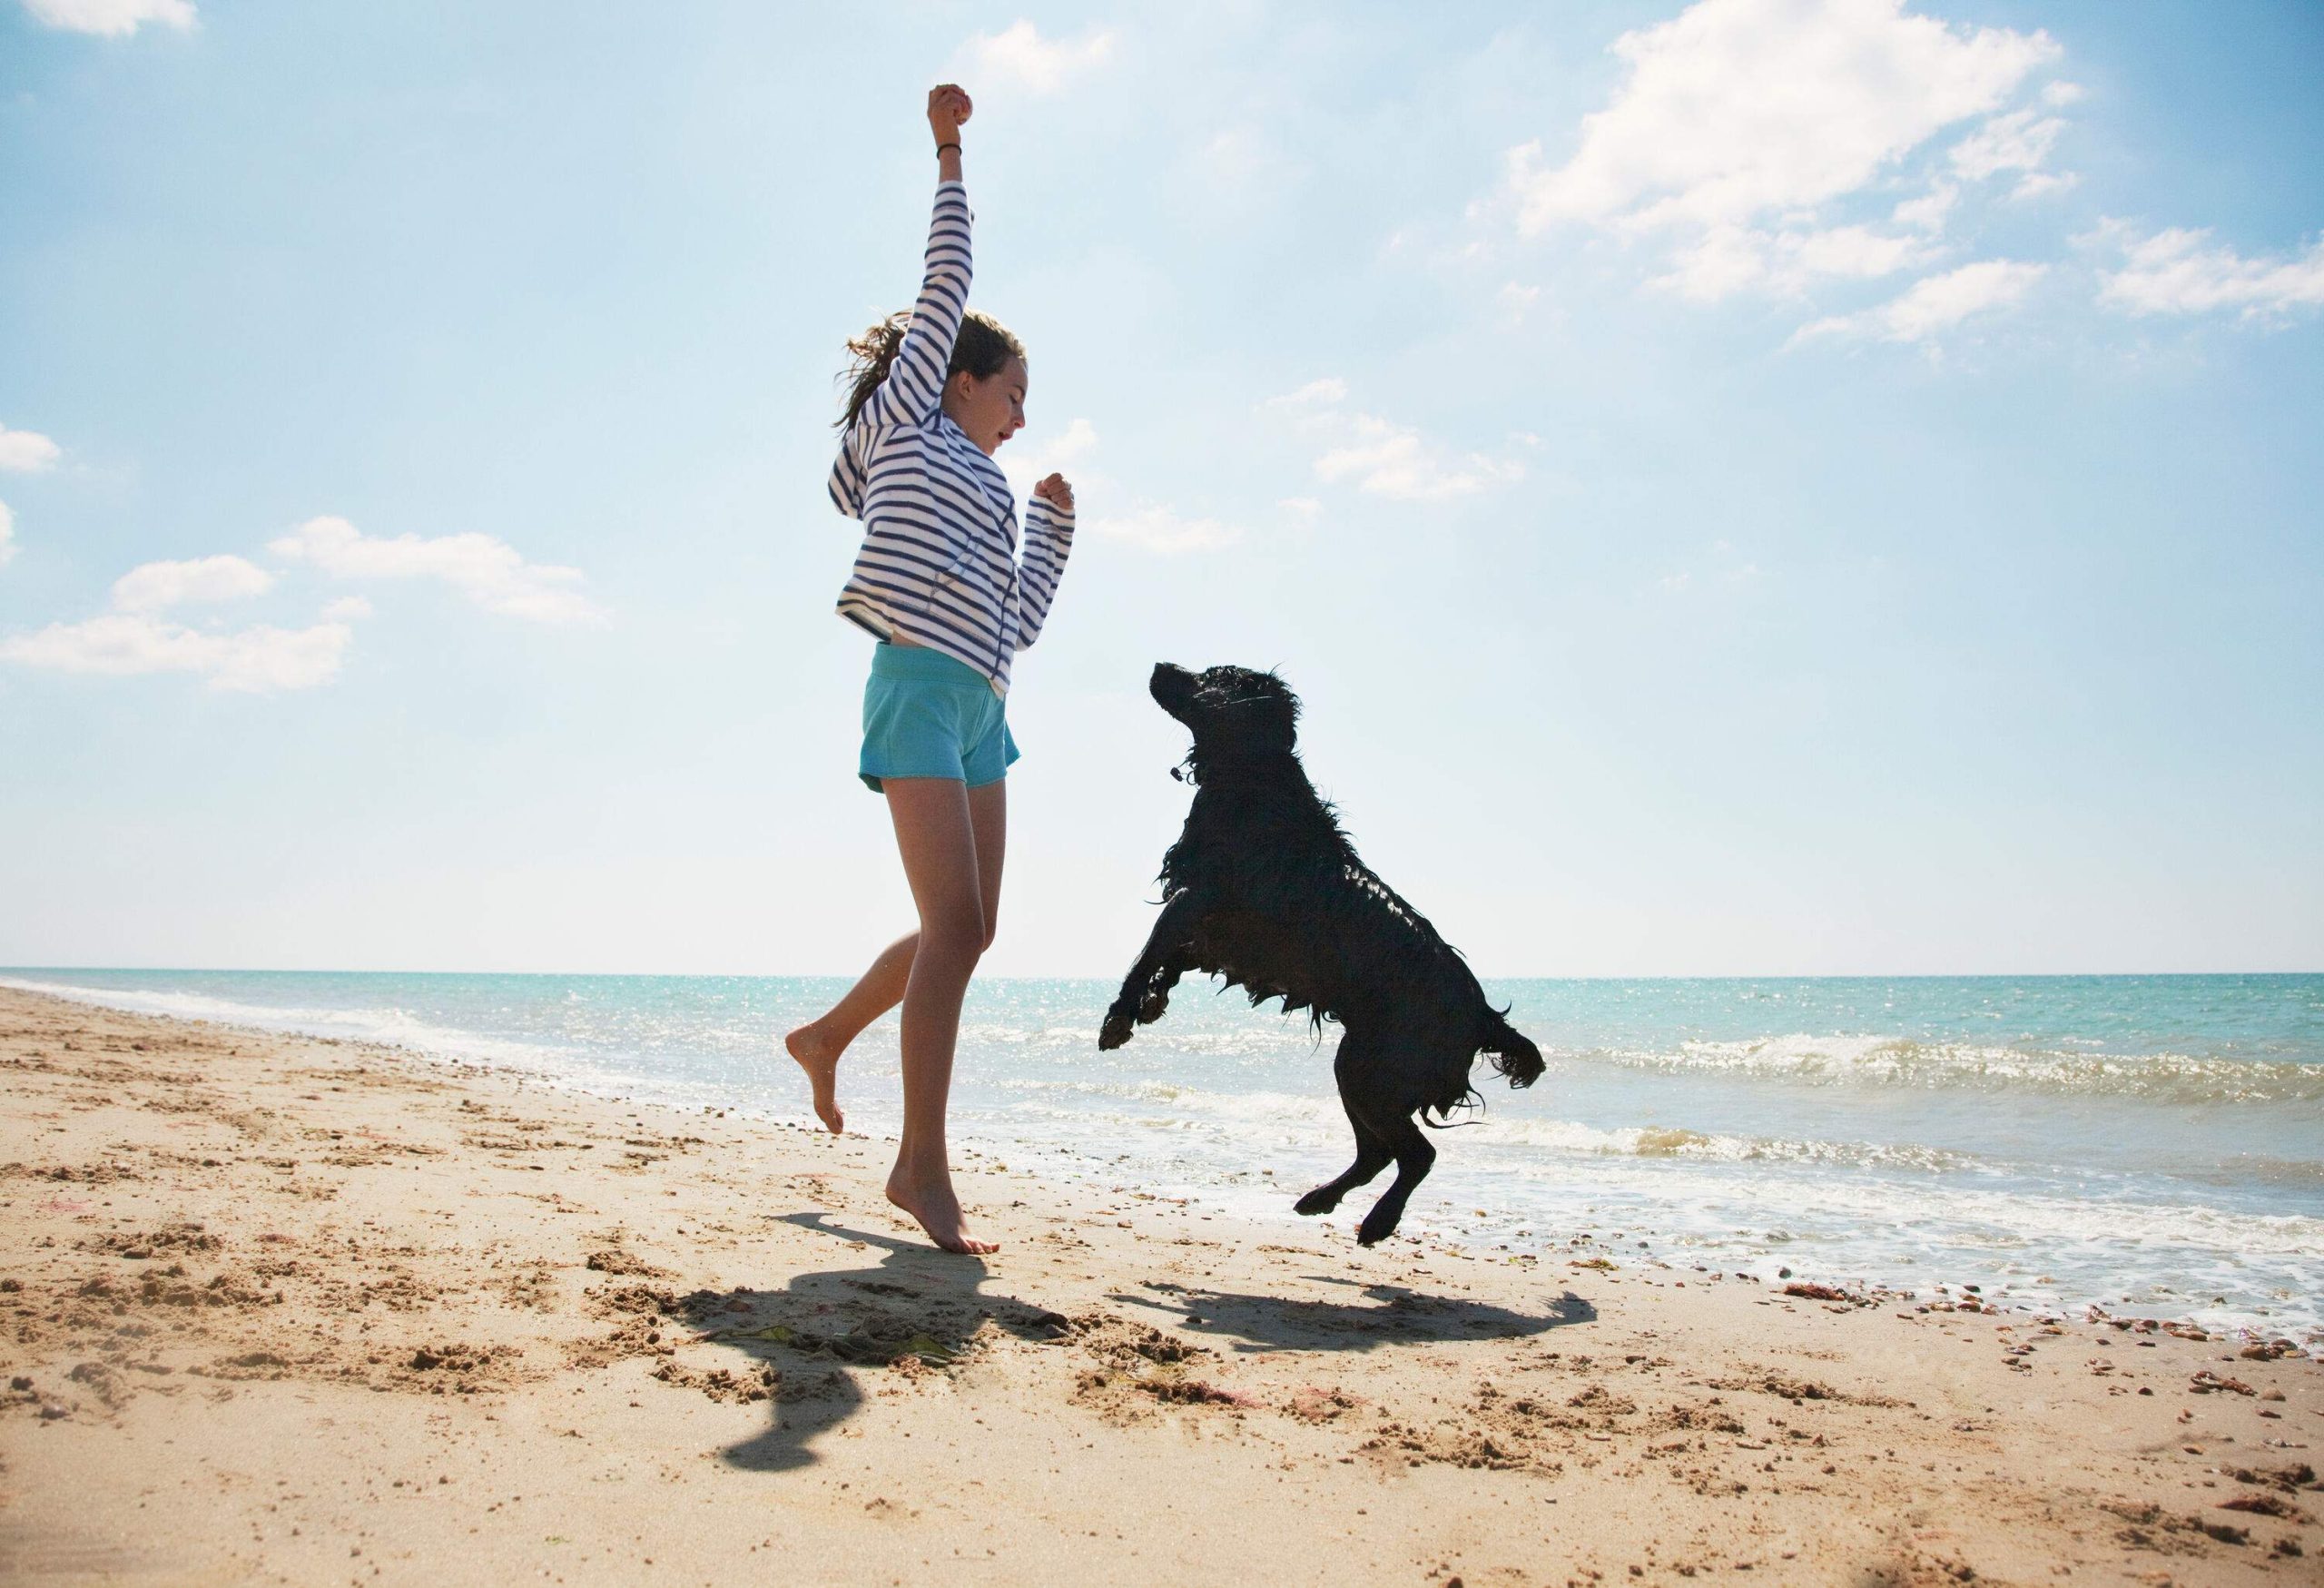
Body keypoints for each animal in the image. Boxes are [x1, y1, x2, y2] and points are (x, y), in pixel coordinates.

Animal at [1092, 665, 1542, 1246]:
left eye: (1213, 676)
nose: (1159, 666)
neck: (1252, 779)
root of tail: (1482, 1015)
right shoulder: (1209, 927)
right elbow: (1168, 959)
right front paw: (1151, 1004)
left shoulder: (1196, 898)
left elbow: (1147, 952)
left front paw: (1120, 1017)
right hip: (1359, 1068)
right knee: (1378, 1154)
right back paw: (1321, 1199)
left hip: (1371, 1069)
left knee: (1416, 1154)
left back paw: (1377, 1221)